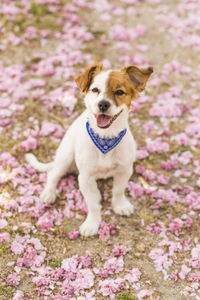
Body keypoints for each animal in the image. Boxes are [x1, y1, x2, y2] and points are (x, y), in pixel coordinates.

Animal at [25, 62, 153, 237]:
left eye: (119, 92)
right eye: (95, 90)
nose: (103, 104)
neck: (105, 138)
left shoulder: (124, 170)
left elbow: (118, 191)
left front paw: (120, 205)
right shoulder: (85, 178)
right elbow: (93, 202)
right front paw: (92, 223)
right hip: (65, 157)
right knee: (52, 174)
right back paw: (49, 192)